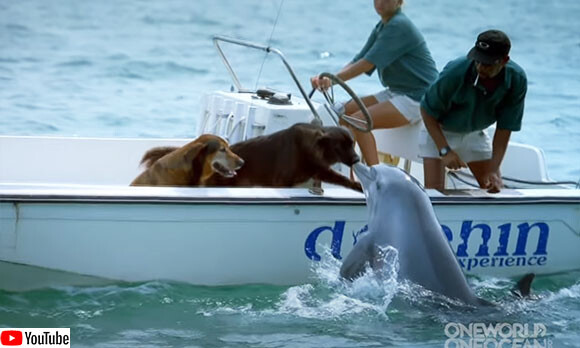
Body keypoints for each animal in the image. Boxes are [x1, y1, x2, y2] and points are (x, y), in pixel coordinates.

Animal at [138, 123, 360, 192]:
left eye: (352, 144)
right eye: (341, 146)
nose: (358, 160)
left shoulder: (318, 169)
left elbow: (341, 178)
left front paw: (359, 186)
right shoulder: (281, 181)